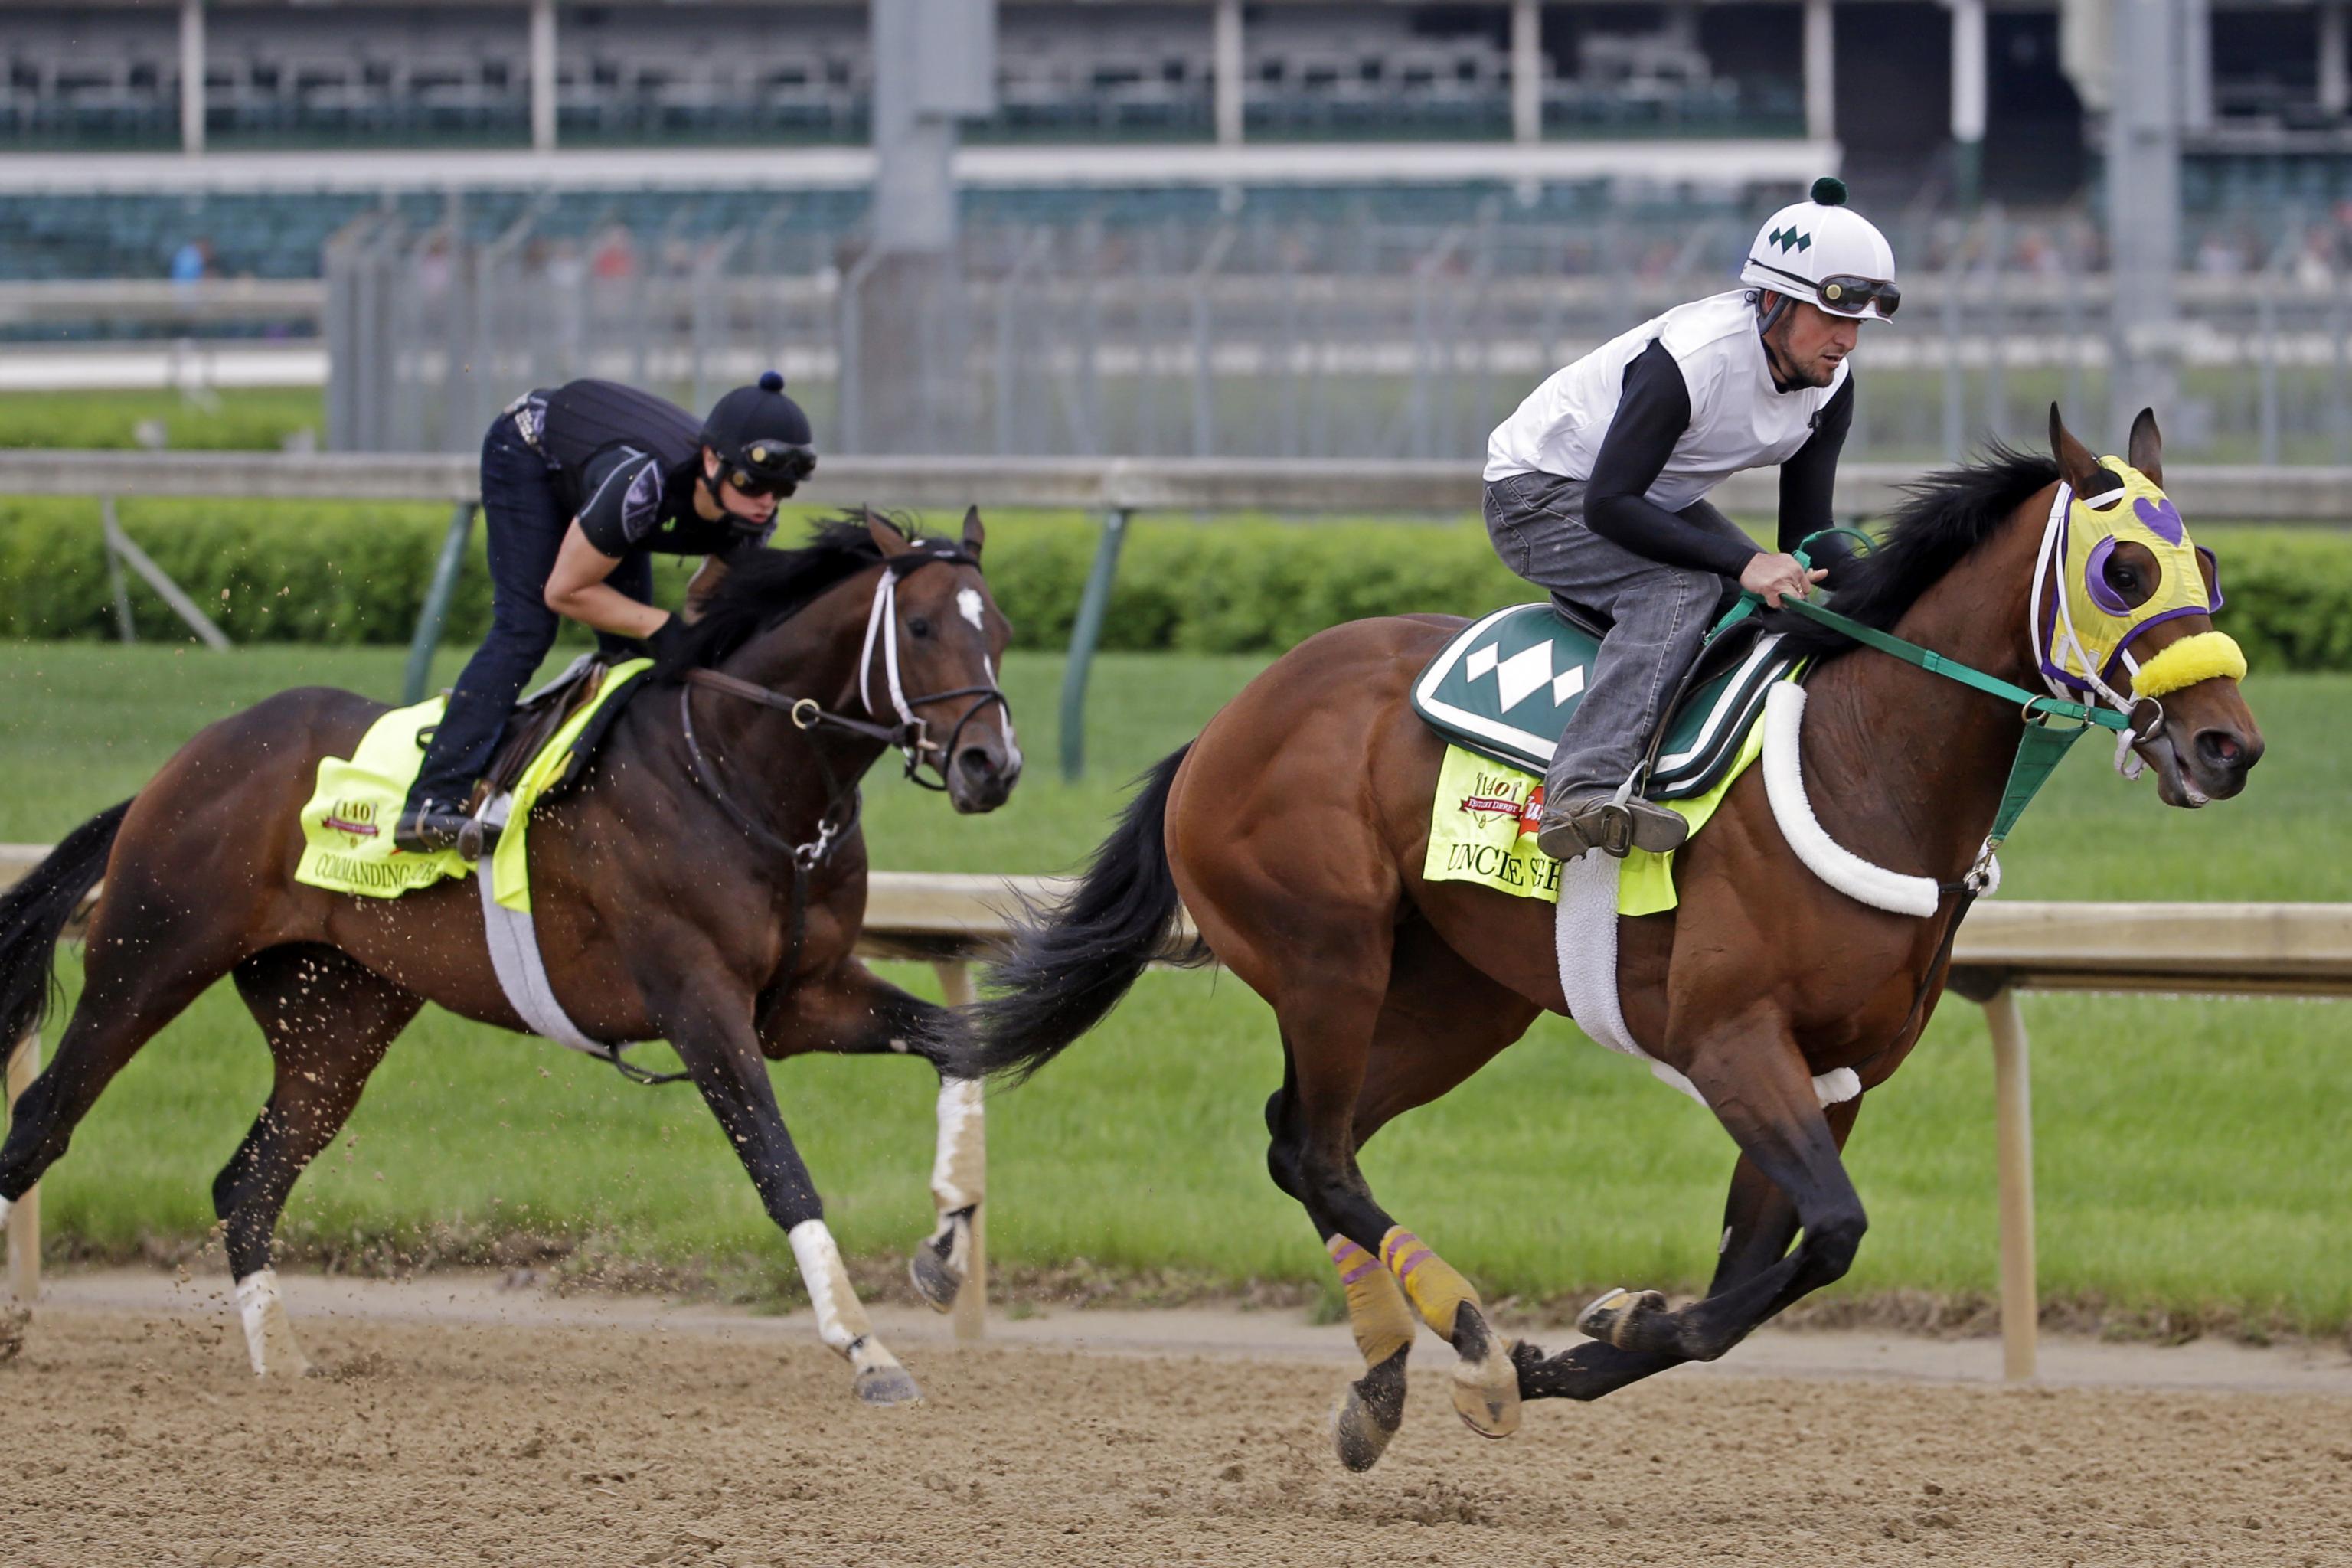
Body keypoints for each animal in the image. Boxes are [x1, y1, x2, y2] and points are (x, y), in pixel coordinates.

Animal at [0, 514, 1021, 1410]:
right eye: (922, 626)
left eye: (1001, 631)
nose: (992, 765)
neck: (747, 774)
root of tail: (180, 764)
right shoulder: (701, 1003)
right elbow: (780, 1166)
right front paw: (865, 1346)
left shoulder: (800, 997)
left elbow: (953, 1041)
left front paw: (946, 1242)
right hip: (151, 956)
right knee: (42, 1118)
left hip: (334, 1020)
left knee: (246, 1181)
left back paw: (281, 1357)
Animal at [955, 411, 2258, 1466]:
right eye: (2123, 567)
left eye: (2209, 568)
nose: (2227, 747)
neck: (1864, 763)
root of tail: (1227, 721)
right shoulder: (1732, 1042)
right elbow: (1832, 1233)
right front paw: (1571, 1343)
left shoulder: (1837, 1076)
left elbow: (1768, 1263)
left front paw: (1611, 1332)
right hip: (1329, 959)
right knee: (1318, 1150)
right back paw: (1470, 1340)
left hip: (1456, 1000)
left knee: (1297, 1141)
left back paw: (1385, 1383)